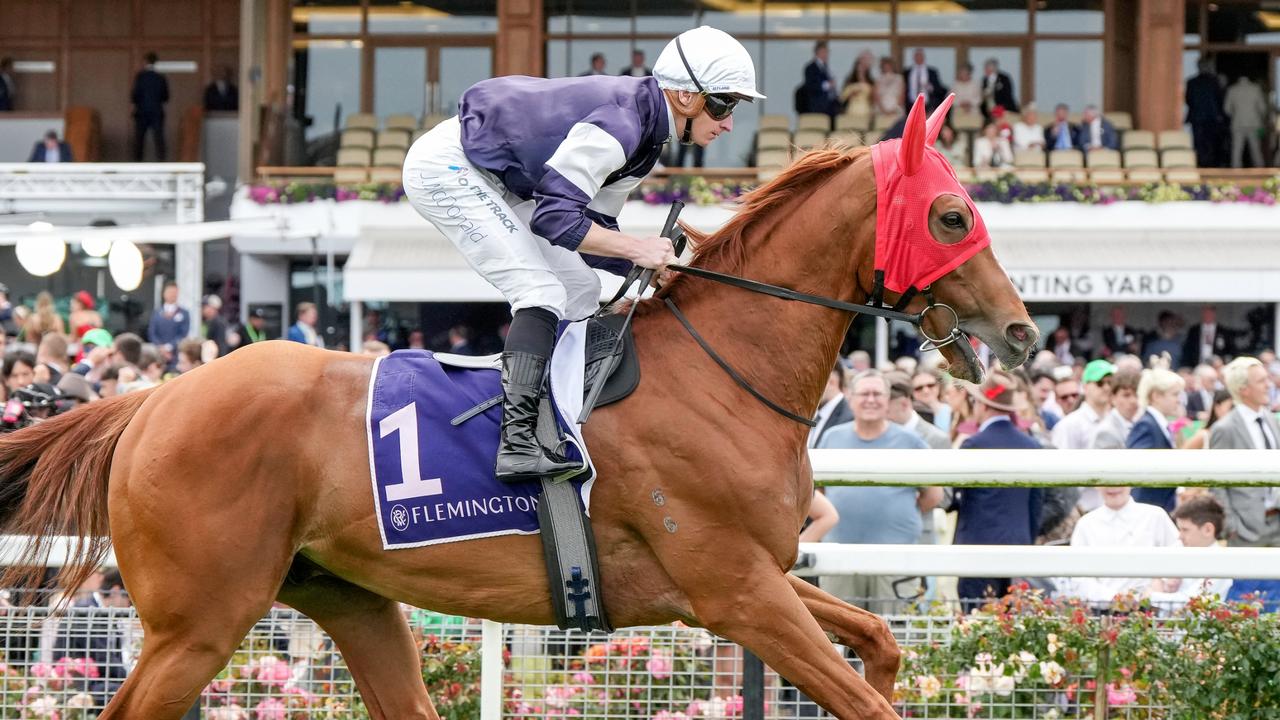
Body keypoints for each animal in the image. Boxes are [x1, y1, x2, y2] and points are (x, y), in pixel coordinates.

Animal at [0, 98, 1039, 712]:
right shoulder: (733, 590)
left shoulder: (756, 577)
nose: (1024, 333)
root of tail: (151, 402)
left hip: (348, 597)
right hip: (199, 623)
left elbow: (878, 639)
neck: (722, 376)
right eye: (952, 214)